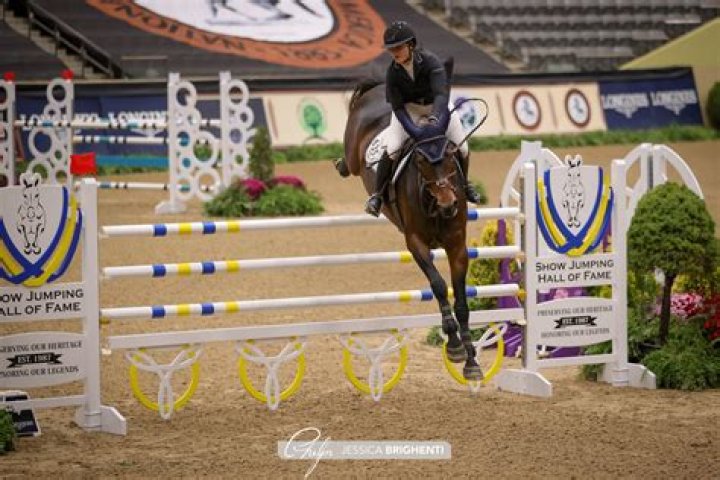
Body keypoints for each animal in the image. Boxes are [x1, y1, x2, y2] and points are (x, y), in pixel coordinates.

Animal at [334, 79, 483, 381]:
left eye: (451, 155)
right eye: (421, 160)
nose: (448, 204)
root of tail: (377, 87)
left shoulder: (457, 245)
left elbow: (462, 300)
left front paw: (472, 360)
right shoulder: (415, 243)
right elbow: (438, 285)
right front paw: (454, 346)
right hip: (355, 153)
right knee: (349, 163)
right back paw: (344, 169)